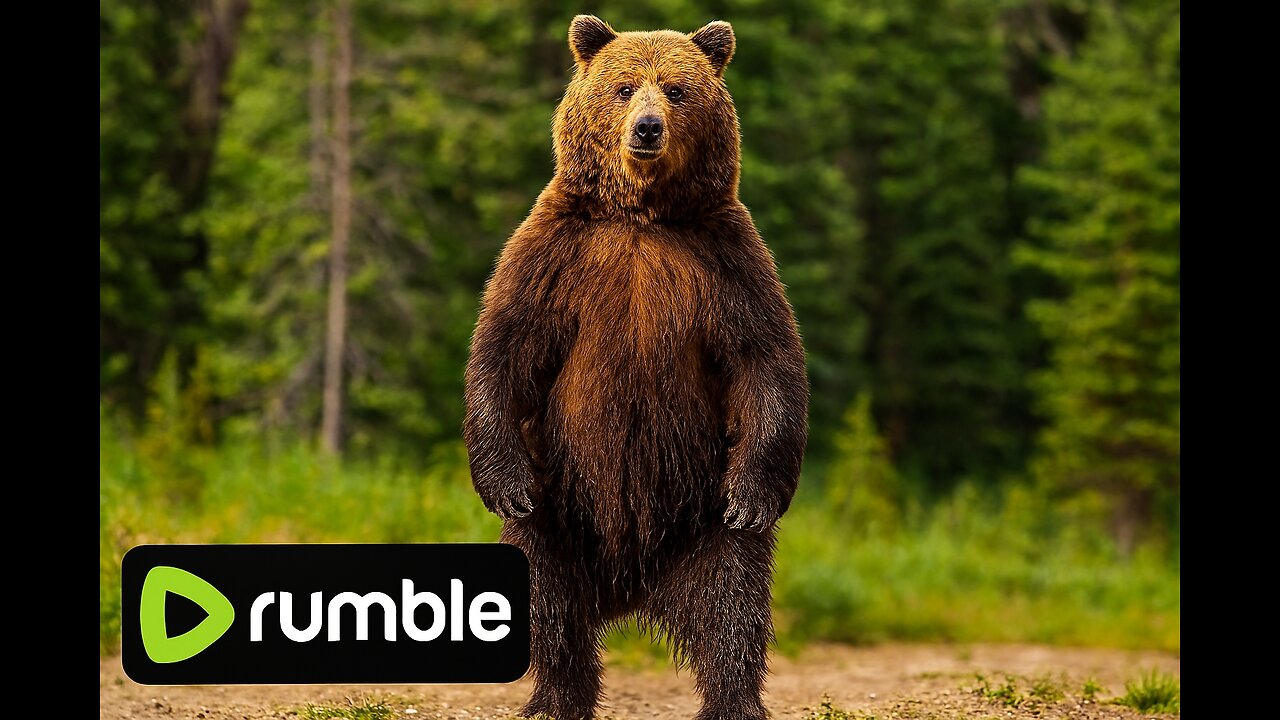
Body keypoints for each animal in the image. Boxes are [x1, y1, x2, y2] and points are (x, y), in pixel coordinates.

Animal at [463, 15, 808, 720]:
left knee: (733, 598)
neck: (642, 215)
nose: (647, 128)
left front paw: (758, 494)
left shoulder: (724, 258)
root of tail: (634, 586)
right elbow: (505, 346)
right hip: (564, 498)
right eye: (623, 88)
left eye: (676, 89)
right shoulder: (556, 252)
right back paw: (556, 696)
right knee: (548, 592)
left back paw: (733, 699)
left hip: (701, 504)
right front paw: (501, 479)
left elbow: (766, 359)